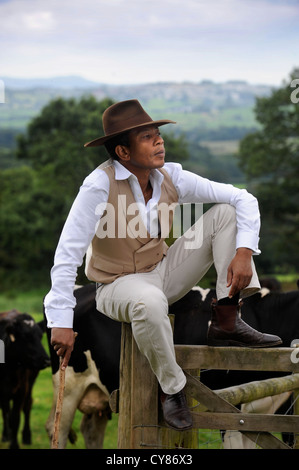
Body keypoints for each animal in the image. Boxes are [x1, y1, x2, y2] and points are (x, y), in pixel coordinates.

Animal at [0, 310, 50, 450]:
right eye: (25, 336)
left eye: (40, 336)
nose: (46, 360)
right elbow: (6, 413)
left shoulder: (21, 390)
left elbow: (15, 418)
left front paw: (14, 445)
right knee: (5, 410)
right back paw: (5, 435)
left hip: (30, 383)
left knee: (27, 405)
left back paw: (26, 436)